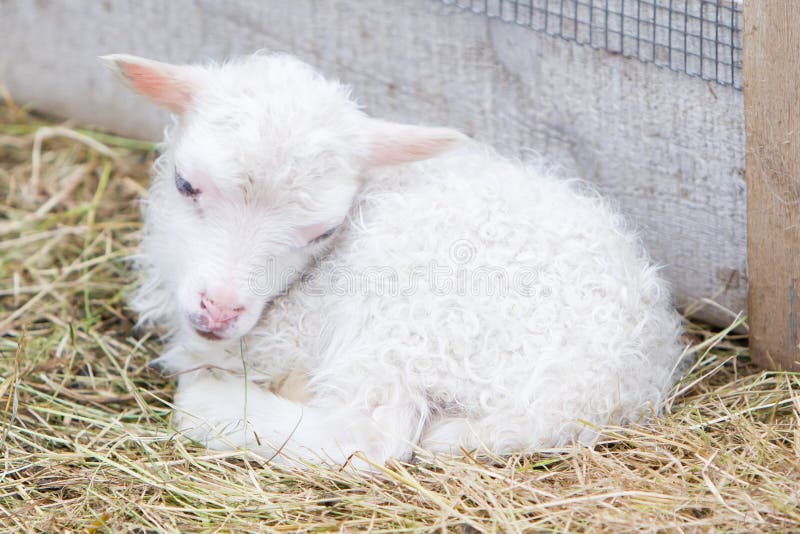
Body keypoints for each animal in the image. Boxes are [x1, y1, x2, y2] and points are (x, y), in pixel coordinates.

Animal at [103, 53, 684, 468]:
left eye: (325, 231)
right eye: (185, 184)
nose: (220, 310)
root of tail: (596, 390)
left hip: (409, 316)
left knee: (368, 435)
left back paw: (207, 405)